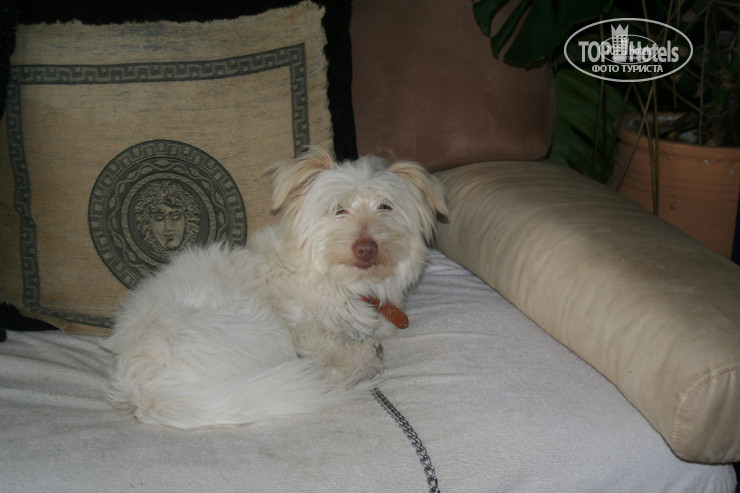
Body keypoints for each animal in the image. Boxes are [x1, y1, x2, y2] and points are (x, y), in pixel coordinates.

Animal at [107, 147, 447, 429]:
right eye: (338, 210)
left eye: (385, 207)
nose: (366, 248)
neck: (347, 283)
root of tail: (144, 390)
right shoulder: (305, 330)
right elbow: (333, 345)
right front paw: (362, 354)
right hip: (262, 327)